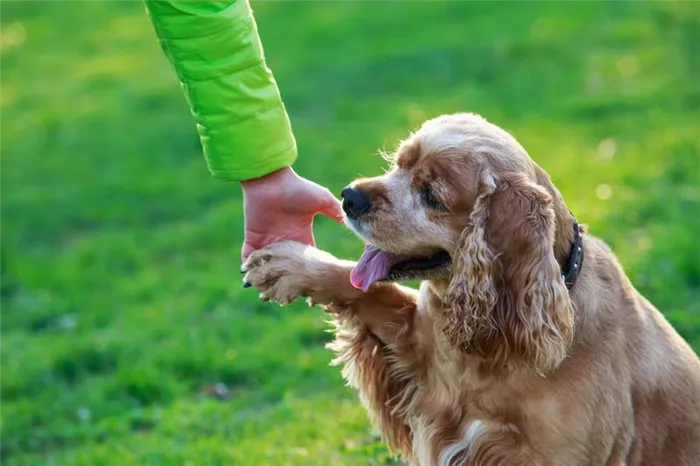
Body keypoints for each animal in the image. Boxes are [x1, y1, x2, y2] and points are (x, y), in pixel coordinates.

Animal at [242, 114, 700, 466]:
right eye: (399, 165)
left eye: (431, 195)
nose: (350, 196)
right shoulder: (420, 358)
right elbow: (368, 290)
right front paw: (288, 263)